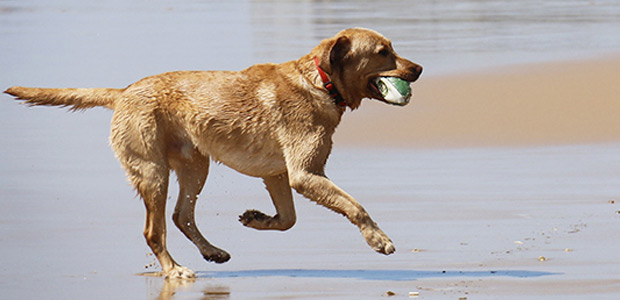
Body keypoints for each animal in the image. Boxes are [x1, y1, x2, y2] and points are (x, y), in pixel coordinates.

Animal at [3, 28, 422, 278]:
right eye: (384, 52)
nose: (418, 69)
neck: (320, 82)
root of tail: (123, 92)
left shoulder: (278, 174)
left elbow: (288, 220)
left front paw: (258, 219)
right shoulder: (304, 174)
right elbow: (355, 206)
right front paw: (379, 240)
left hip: (194, 166)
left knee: (181, 216)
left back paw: (212, 252)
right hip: (153, 172)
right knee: (154, 230)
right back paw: (174, 269)